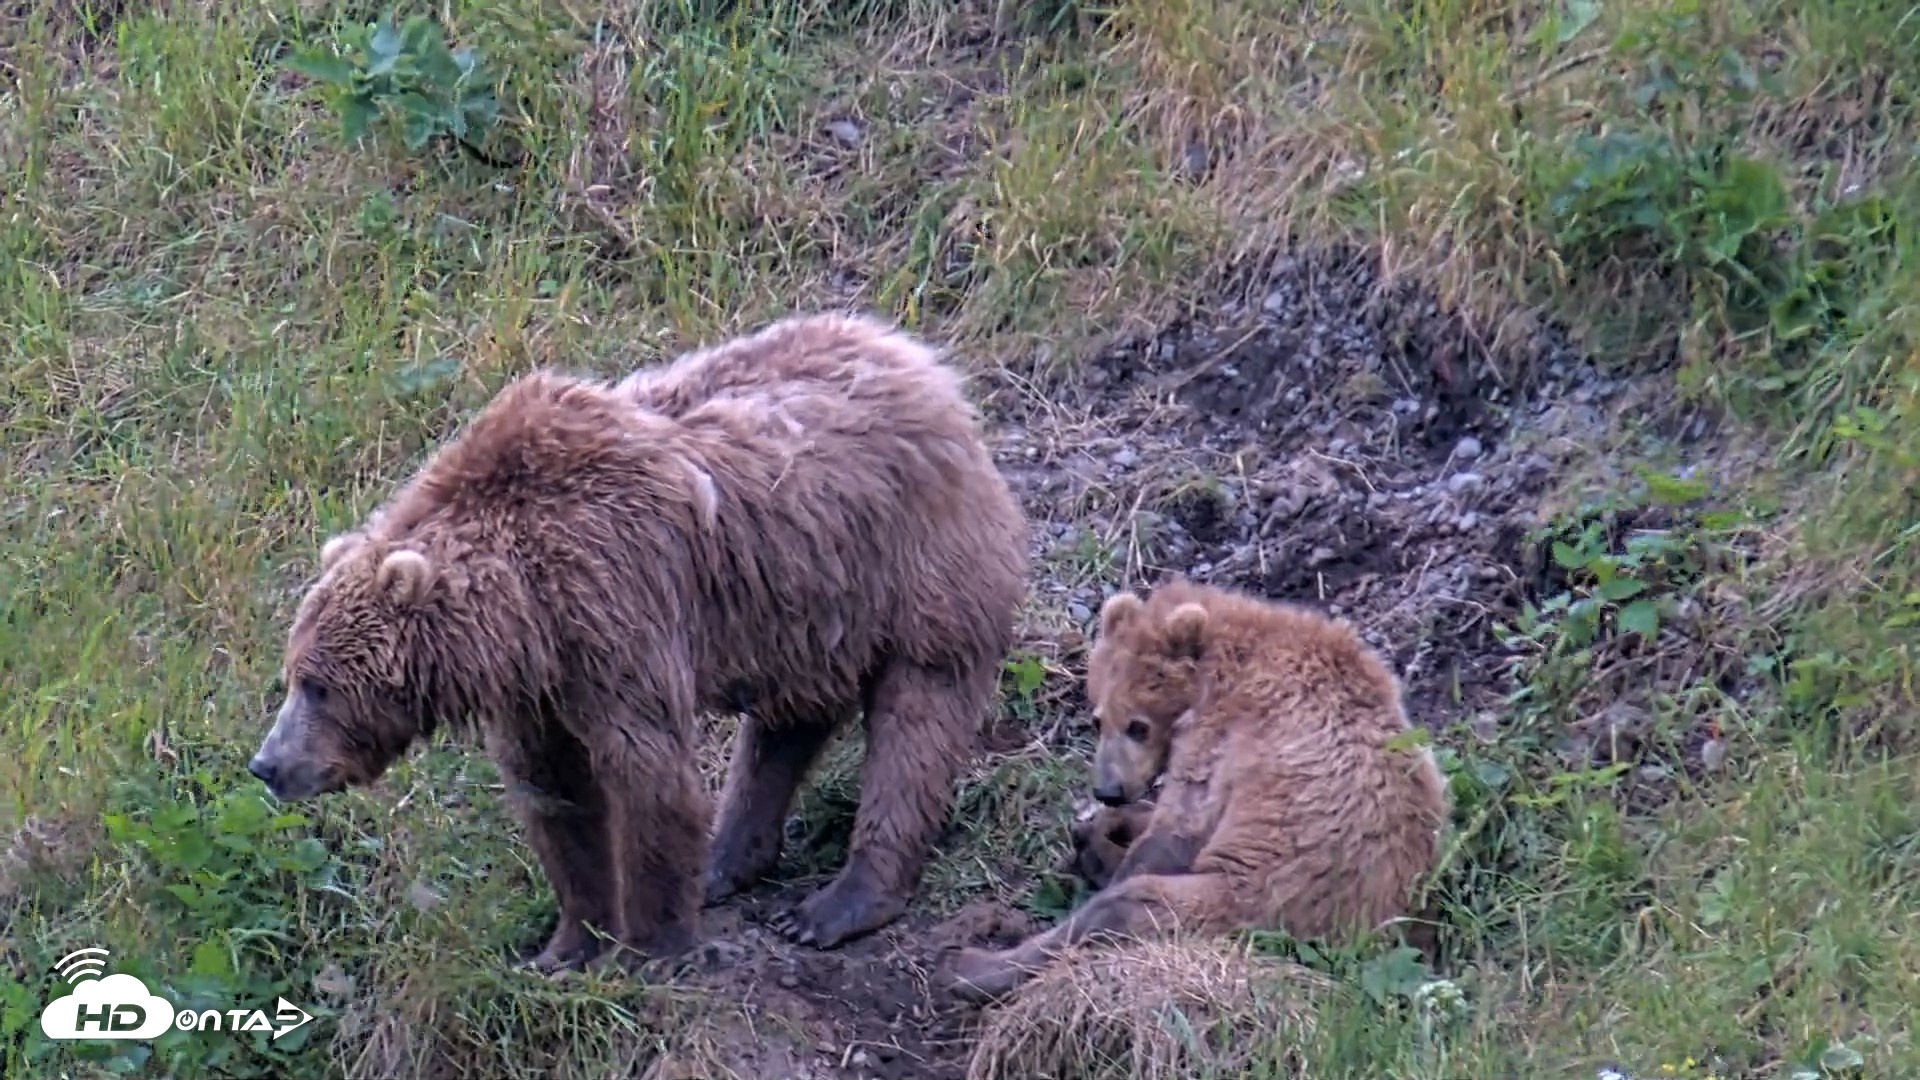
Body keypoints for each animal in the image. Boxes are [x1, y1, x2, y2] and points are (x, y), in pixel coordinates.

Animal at [246, 312, 1031, 970]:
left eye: (318, 686)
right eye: (293, 674)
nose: (267, 764)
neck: (520, 605)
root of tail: (925, 365)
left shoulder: (612, 607)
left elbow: (646, 775)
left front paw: (651, 949)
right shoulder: (538, 679)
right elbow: (555, 794)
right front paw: (567, 944)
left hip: (912, 566)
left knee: (917, 720)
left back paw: (835, 904)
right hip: (803, 606)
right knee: (785, 725)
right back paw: (726, 862)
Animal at [941, 578, 1450, 1002]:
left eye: (1138, 726)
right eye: (1098, 719)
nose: (1108, 789)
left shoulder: (1227, 732)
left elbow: (1180, 824)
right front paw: (1102, 828)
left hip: (1257, 899)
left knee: (1126, 907)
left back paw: (976, 967)